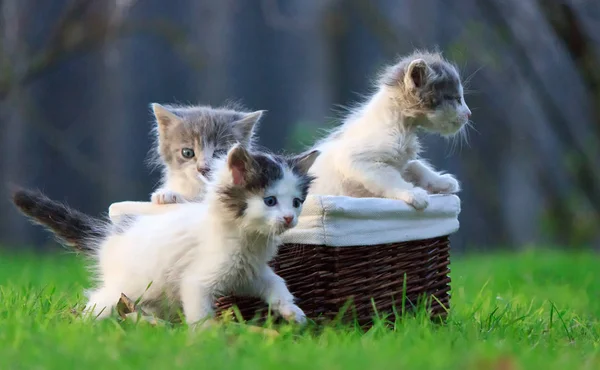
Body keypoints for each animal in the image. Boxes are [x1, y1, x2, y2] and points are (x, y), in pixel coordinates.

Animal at [14, 145, 318, 326]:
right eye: (270, 201)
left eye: (296, 202)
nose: (289, 218)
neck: (248, 239)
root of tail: (110, 238)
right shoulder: (198, 280)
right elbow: (200, 313)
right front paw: (208, 341)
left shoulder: (250, 272)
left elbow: (277, 283)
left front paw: (292, 312)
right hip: (128, 285)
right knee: (98, 301)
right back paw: (82, 324)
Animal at [308, 50, 472, 210]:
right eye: (456, 99)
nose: (469, 114)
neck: (402, 128)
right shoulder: (355, 159)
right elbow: (390, 177)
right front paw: (413, 193)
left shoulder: (401, 162)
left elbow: (415, 165)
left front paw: (441, 181)